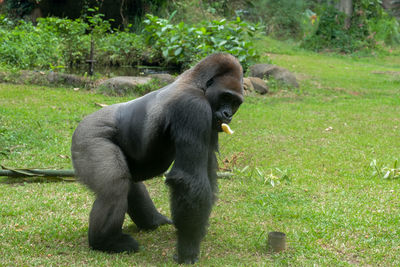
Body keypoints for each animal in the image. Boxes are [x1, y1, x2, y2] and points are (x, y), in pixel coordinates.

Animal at [71, 53, 244, 264]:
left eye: (235, 103)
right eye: (226, 97)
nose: (228, 115)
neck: (196, 83)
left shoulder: (211, 123)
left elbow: (207, 174)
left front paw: (195, 231)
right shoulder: (194, 107)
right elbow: (189, 179)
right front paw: (188, 247)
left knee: (129, 182)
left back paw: (152, 220)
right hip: (87, 137)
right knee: (114, 187)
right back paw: (105, 241)